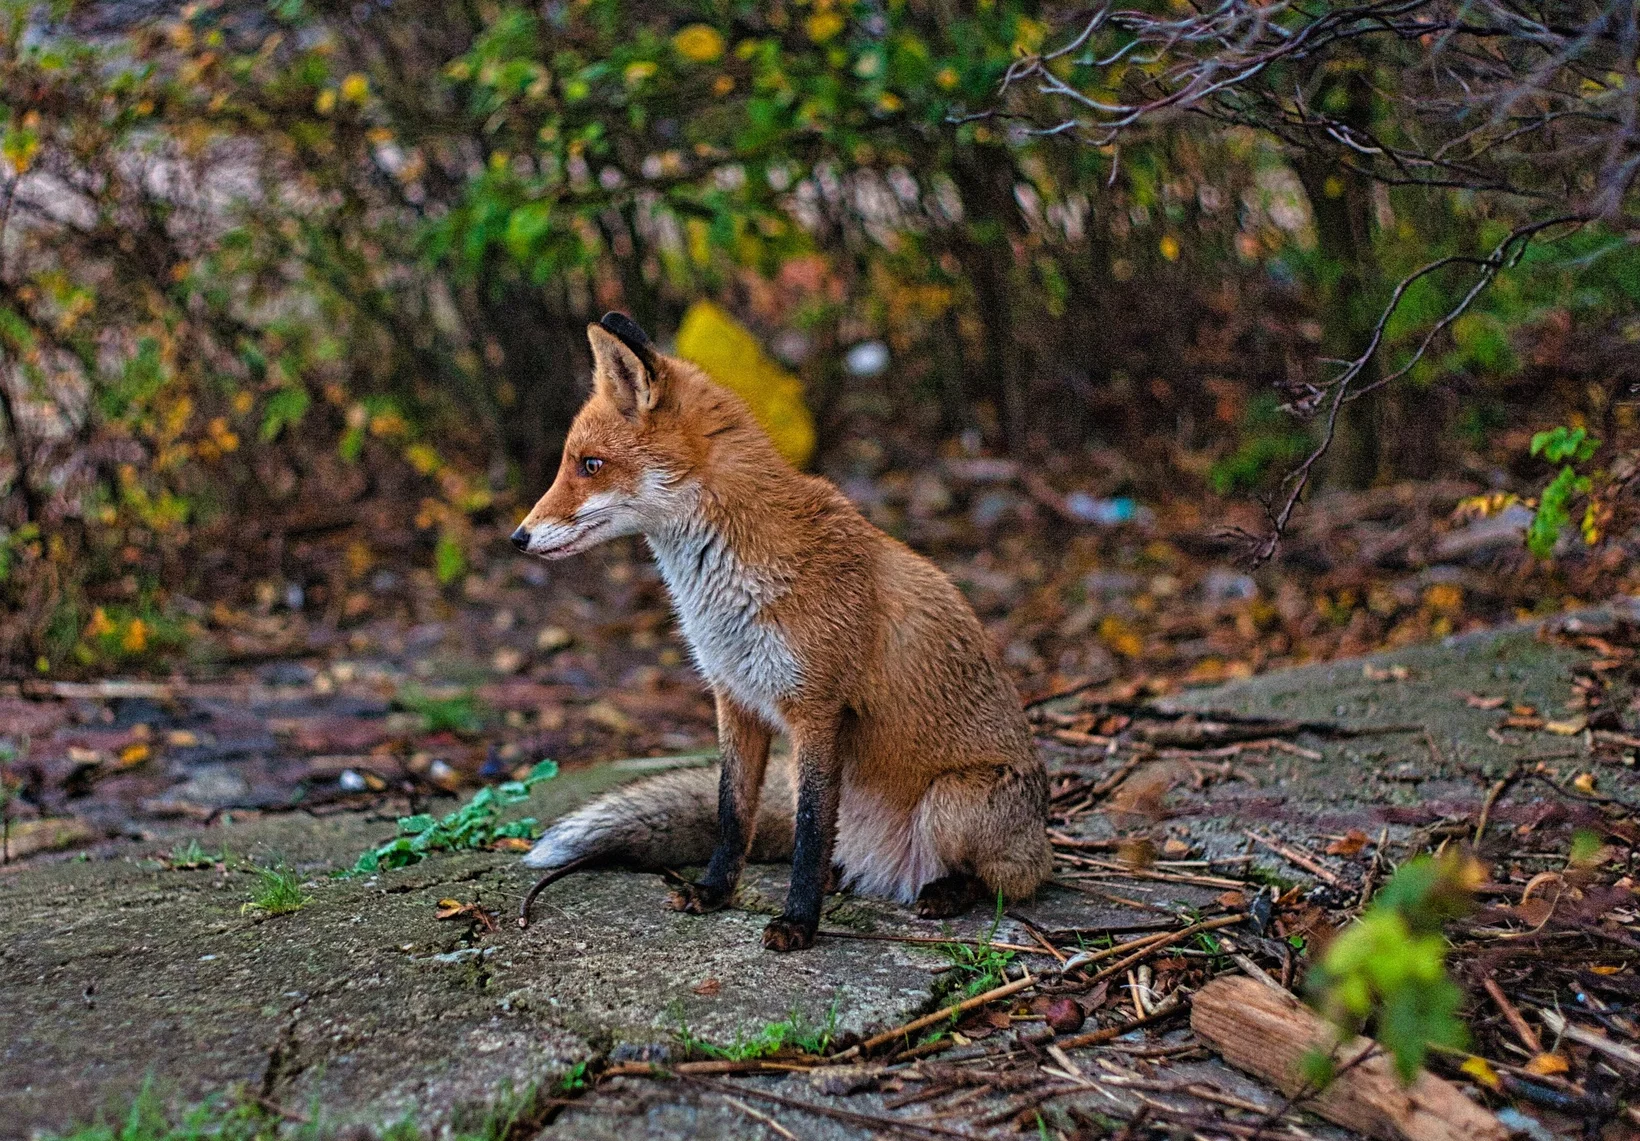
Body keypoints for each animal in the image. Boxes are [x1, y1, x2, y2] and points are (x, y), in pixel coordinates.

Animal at [505, 311, 1056, 950]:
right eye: (572, 462)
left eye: (589, 465)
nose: (518, 537)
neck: (726, 591)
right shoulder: (734, 697)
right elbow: (732, 812)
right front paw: (715, 892)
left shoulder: (817, 708)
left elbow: (810, 832)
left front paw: (798, 922)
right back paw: (848, 879)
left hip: (952, 803)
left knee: (1004, 880)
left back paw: (945, 891)